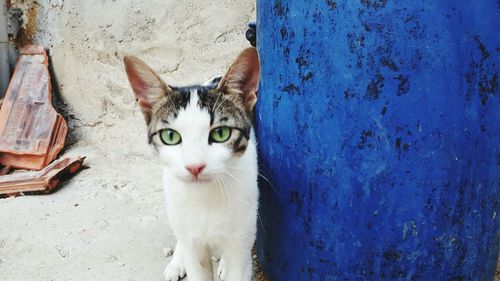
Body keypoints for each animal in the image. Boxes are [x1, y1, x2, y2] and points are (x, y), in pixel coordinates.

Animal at [123, 48, 260, 280]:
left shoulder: (241, 238)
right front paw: (181, 259)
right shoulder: (193, 242)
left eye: (221, 133)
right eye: (170, 136)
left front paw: (226, 264)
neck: (205, 197)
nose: (195, 166)